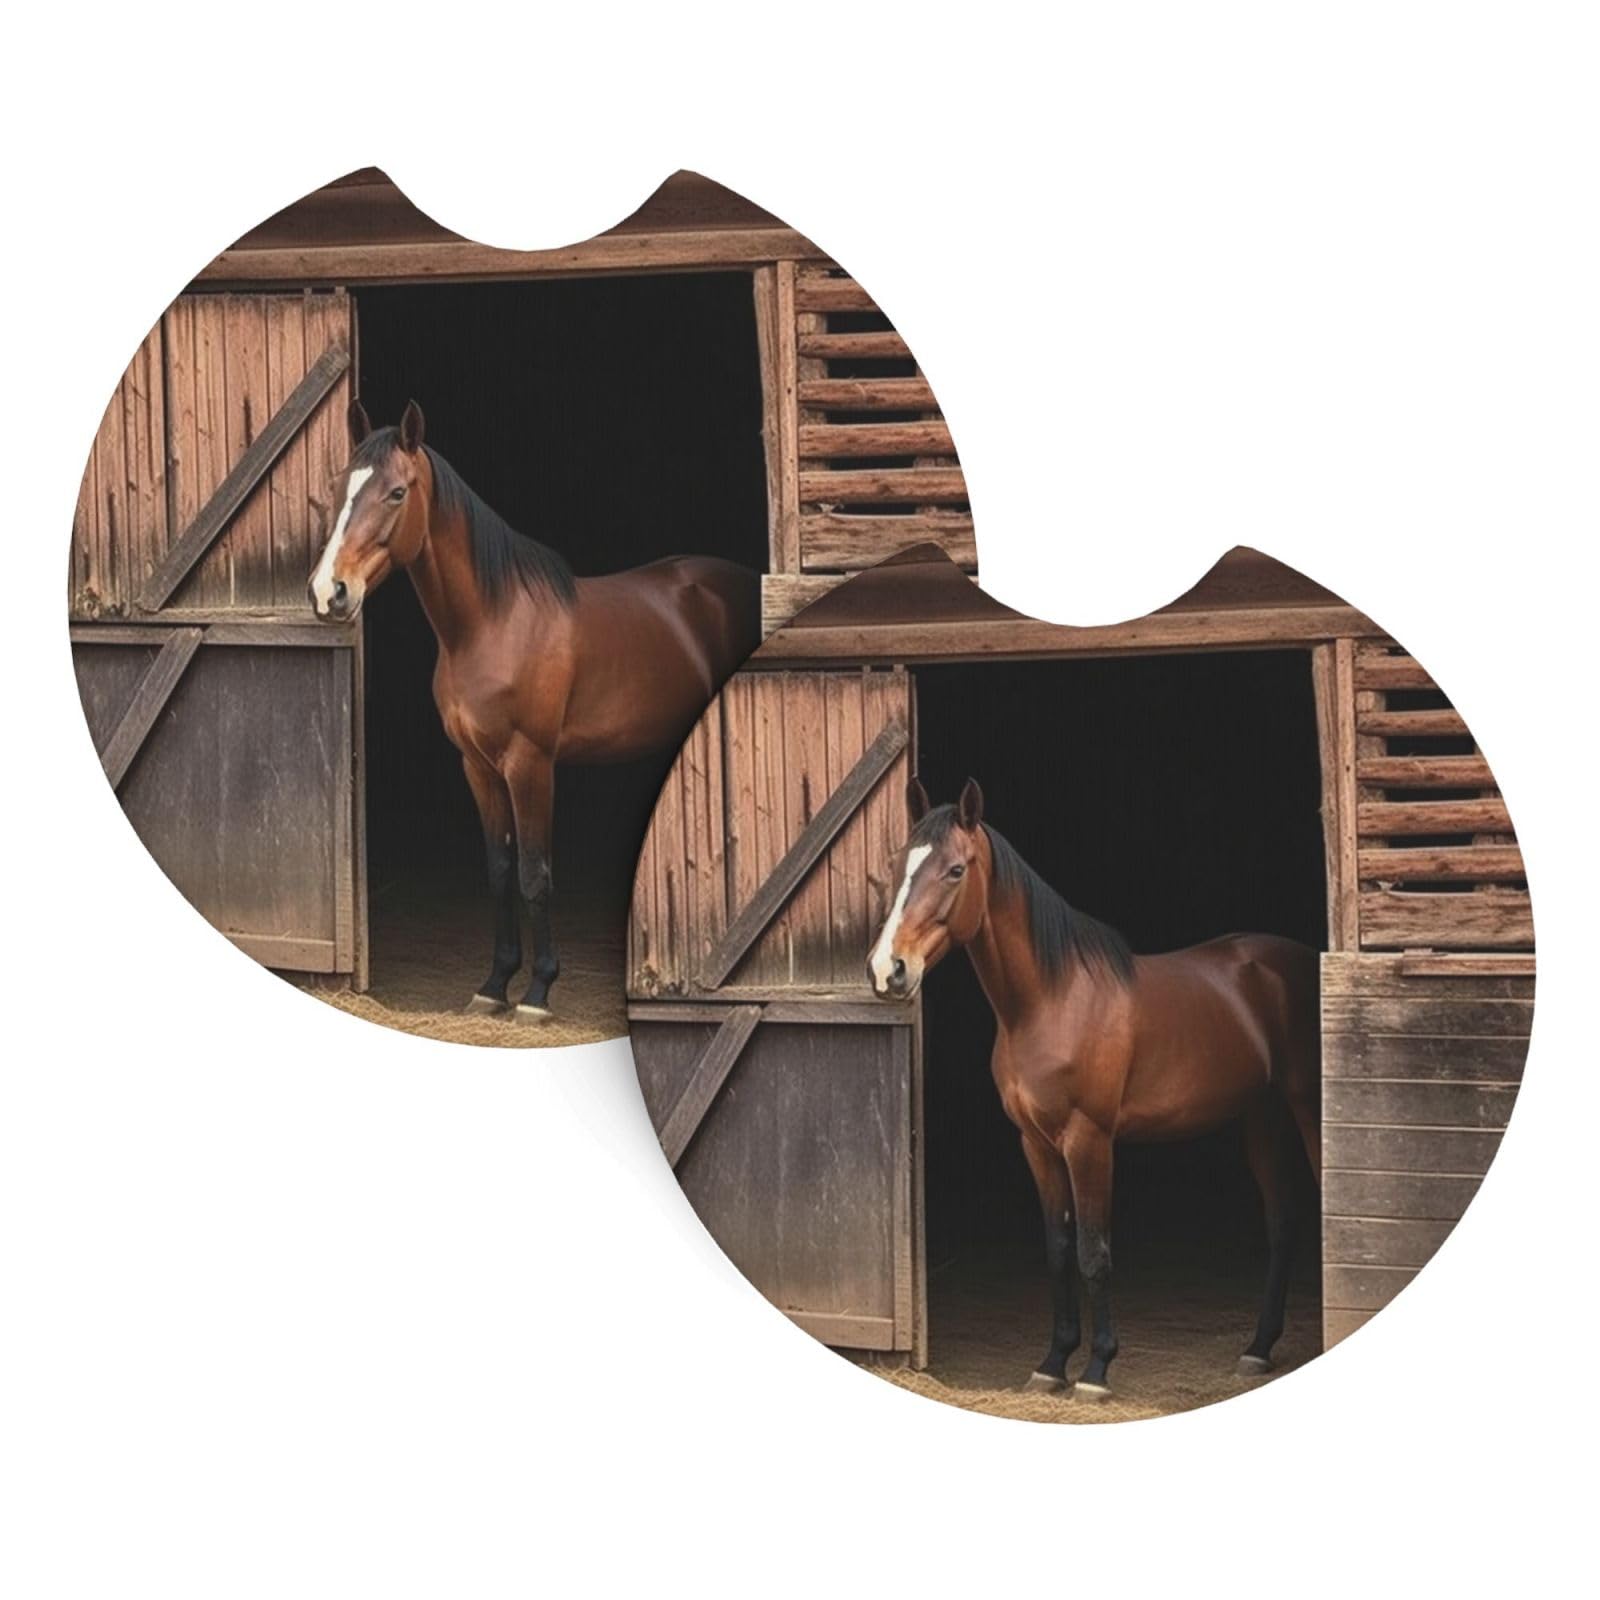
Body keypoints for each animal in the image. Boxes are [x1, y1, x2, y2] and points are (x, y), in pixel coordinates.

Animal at [308, 400, 760, 1023]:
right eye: (340, 487)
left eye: (397, 493)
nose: (329, 592)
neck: (494, 623)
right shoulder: (476, 766)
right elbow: (499, 871)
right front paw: (495, 984)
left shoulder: (531, 764)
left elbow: (533, 873)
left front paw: (538, 992)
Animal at [868, 778, 1321, 1399]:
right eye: (899, 866)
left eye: (956, 870)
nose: (888, 969)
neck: (1053, 1000)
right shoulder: (1035, 1144)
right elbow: (1058, 1250)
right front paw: (1053, 1362)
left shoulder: (1090, 1141)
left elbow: (1093, 1251)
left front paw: (1097, 1370)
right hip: (1262, 1117)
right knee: (1282, 1222)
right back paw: (1257, 1349)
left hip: (1308, 1109)